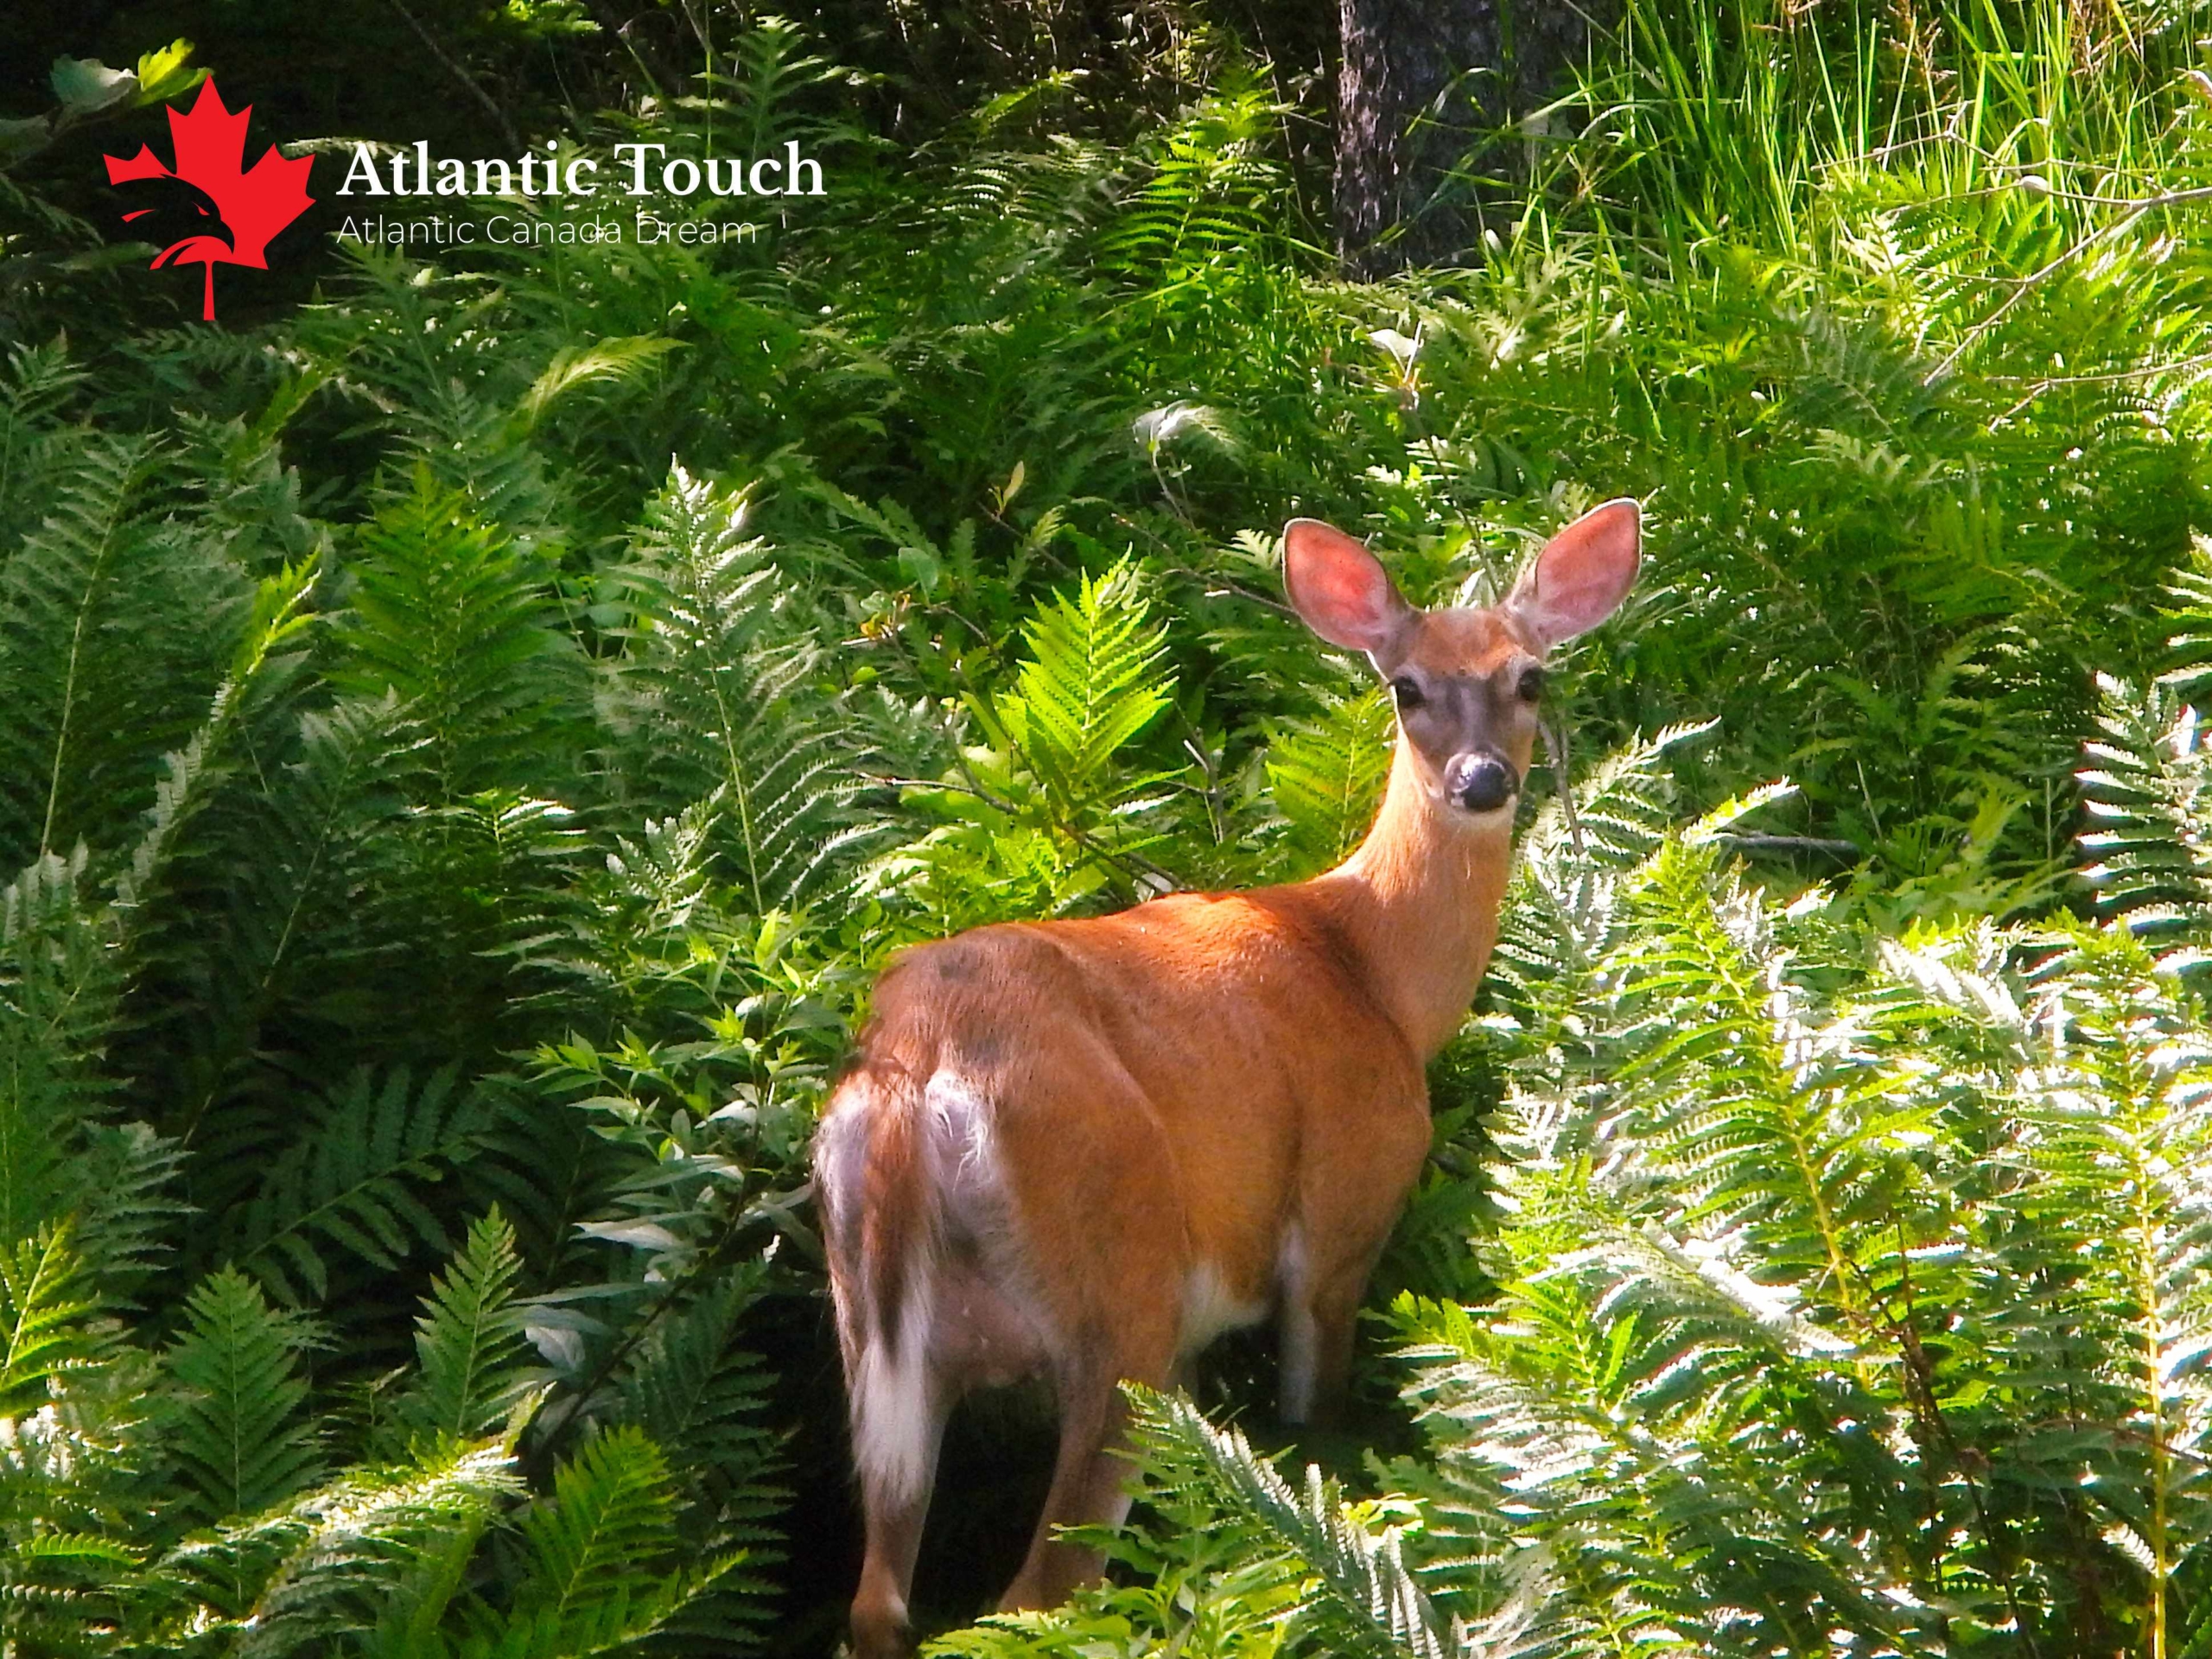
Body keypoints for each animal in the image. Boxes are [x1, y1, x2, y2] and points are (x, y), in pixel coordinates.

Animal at [814, 499, 1645, 1654]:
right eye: (1406, 686)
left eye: (1530, 678)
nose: (1482, 781)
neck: (1375, 974)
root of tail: (917, 1067)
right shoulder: (1344, 1206)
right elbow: (1314, 1421)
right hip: (1120, 1283)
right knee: (1041, 1592)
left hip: (879, 1335)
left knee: (881, 1601)